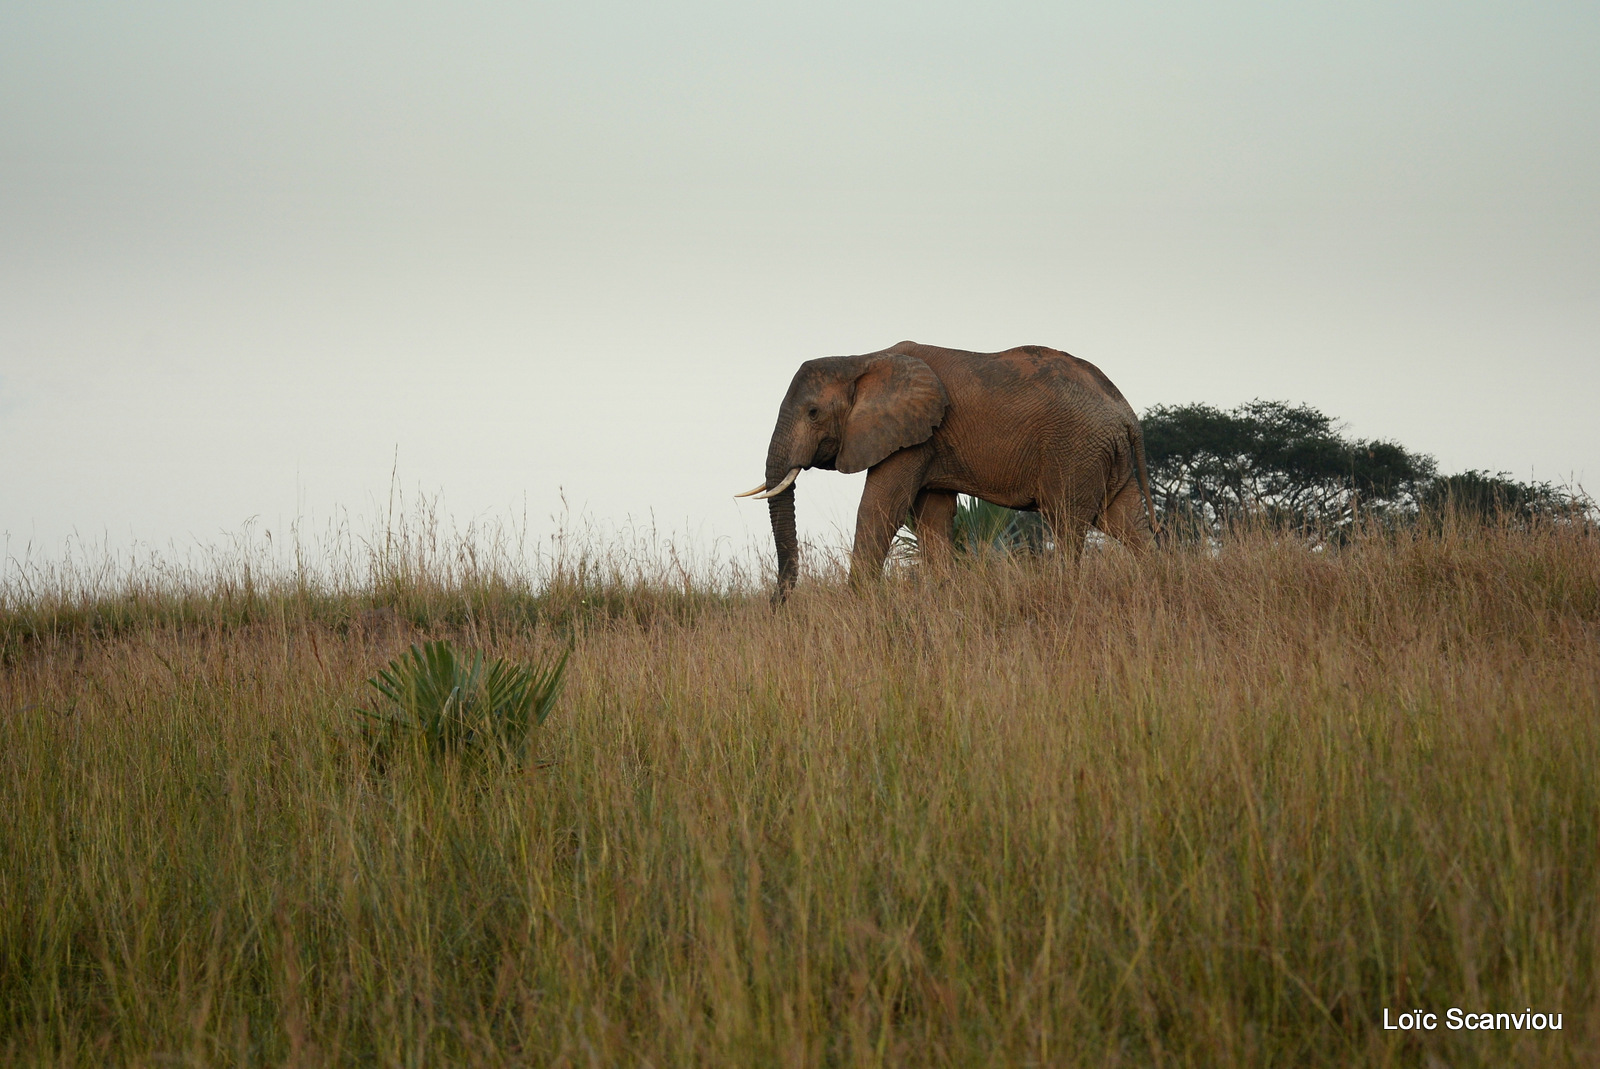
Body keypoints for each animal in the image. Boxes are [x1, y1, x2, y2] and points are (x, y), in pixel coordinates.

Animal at [732, 337, 1158, 598]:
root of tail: (1126, 413)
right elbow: (932, 517)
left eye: (813, 413)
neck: (862, 359)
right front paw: (943, 597)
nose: (777, 605)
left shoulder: (911, 436)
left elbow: (879, 508)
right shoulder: (926, 439)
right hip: (1099, 454)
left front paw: (859, 602)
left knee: (1068, 522)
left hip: (1073, 450)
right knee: (1126, 521)